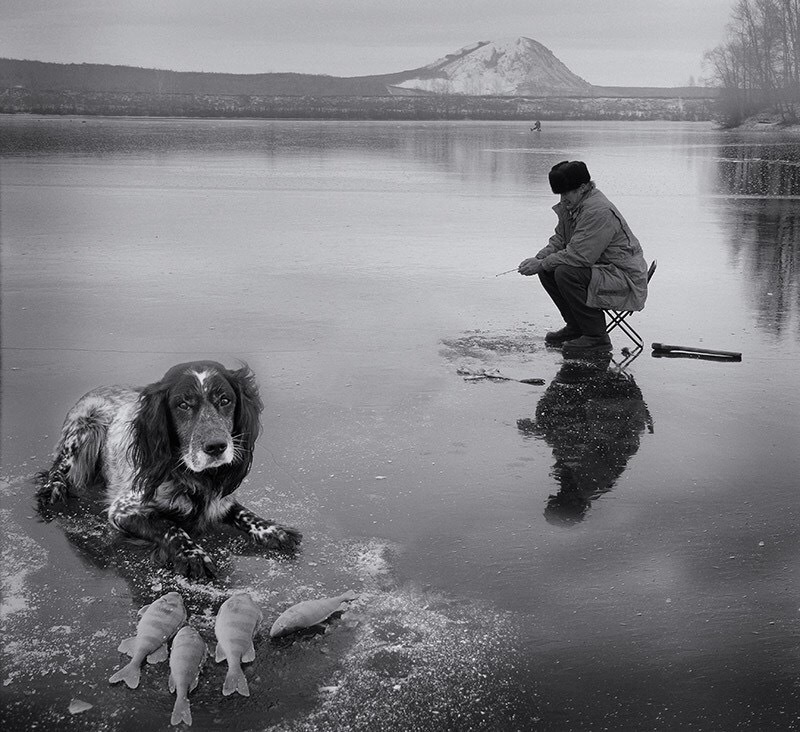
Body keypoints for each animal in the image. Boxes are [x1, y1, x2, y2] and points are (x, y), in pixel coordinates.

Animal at [34, 360, 304, 576]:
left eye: (225, 400)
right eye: (183, 405)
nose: (217, 447)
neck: (192, 475)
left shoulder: (219, 499)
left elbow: (243, 512)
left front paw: (271, 529)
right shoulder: (123, 509)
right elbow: (170, 526)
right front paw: (193, 555)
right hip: (84, 428)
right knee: (58, 466)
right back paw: (53, 488)